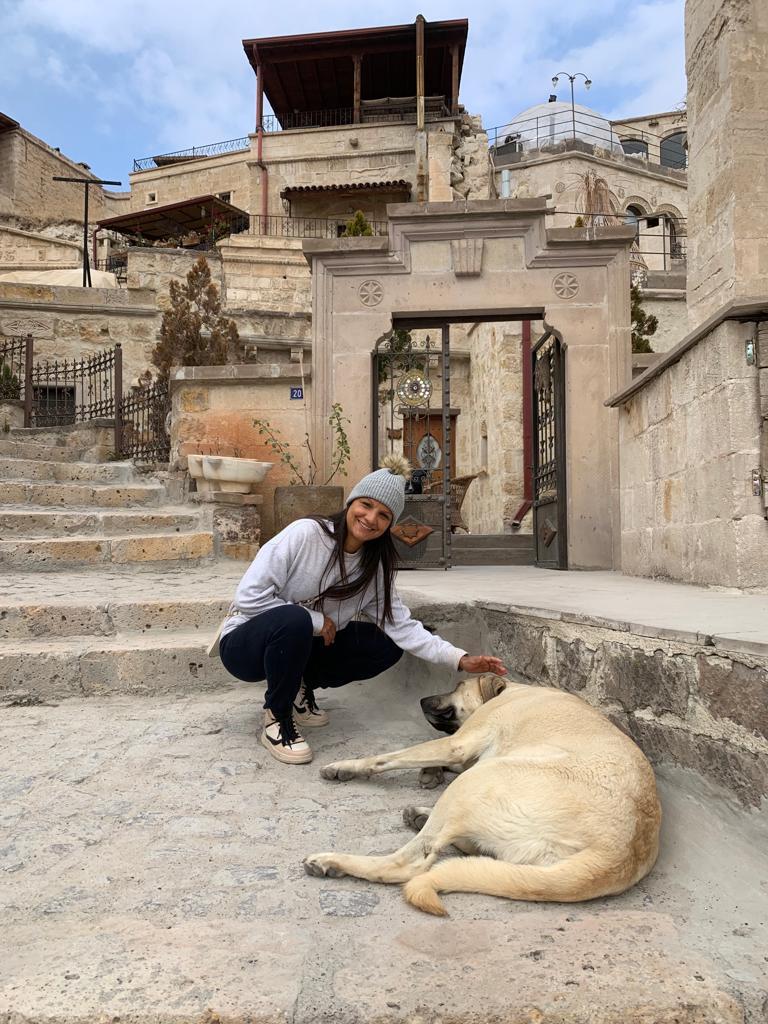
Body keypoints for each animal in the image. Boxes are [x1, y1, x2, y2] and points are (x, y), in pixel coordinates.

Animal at [303, 675, 662, 916]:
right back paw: (421, 814)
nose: (421, 700)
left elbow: (389, 757)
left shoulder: (458, 743)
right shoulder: (463, 752)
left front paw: (345, 766)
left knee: (412, 863)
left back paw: (331, 861)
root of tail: (617, 855)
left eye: (458, 684)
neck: (511, 689)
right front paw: (430, 774)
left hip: (476, 781)